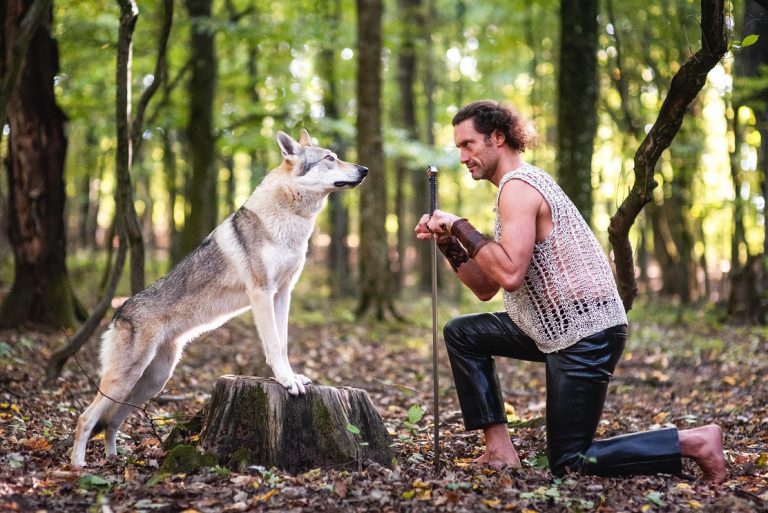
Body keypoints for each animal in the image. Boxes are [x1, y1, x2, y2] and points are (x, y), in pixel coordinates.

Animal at [70, 128, 366, 464]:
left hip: (151, 382)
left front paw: (292, 376)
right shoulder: (261, 292)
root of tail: (118, 312)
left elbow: (284, 343)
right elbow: (273, 346)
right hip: (126, 379)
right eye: (330, 158)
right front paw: (285, 380)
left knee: (112, 422)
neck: (290, 218)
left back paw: (114, 459)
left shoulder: (283, 293)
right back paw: (79, 466)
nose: (365, 170)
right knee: (86, 418)